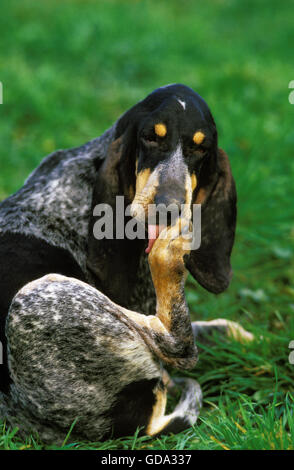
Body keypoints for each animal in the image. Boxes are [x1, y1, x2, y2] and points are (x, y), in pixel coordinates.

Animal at [0, 85, 253, 444]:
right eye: (150, 138)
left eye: (200, 148)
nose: (168, 208)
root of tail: (132, 424)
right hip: (36, 293)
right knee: (179, 347)